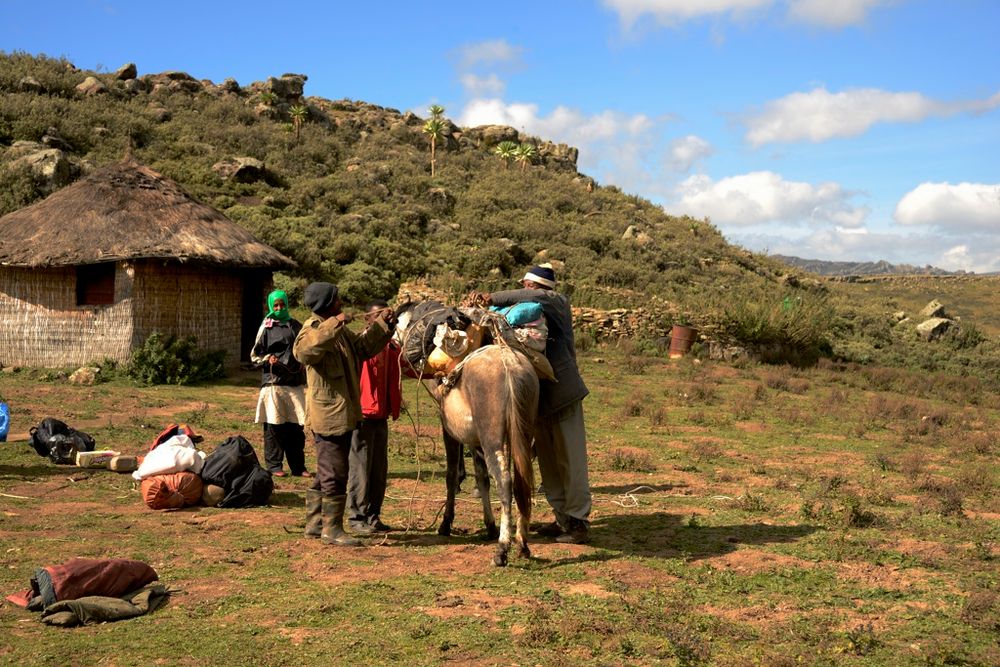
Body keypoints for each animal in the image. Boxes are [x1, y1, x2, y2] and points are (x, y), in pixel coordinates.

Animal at [396, 306, 540, 568]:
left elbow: (452, 475)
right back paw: (522, 544)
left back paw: (502, 549)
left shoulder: (451, 433)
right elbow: (482, 479)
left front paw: (446, 523)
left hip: (493, 439)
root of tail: (509, 366)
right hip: (521, 435)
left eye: (400, 323)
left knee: (505, 482)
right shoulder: (475, 442)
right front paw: (490, 525)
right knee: (521, 481)